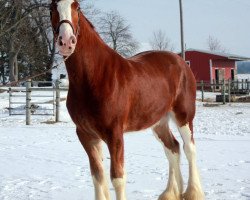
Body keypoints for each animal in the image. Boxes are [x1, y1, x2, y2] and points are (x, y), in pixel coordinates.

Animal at [49, 0, 205, 199]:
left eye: (77, 8)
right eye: (51, 8)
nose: (66, 41)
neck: (95, 76)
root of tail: (180, 62)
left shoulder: (114, 134)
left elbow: (117, 178)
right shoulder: (86, 134)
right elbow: (97, 176)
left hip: (183, 116)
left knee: (189, 149)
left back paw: (193, 192)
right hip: (159, 122)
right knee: (173, 149)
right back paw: (171, 193)